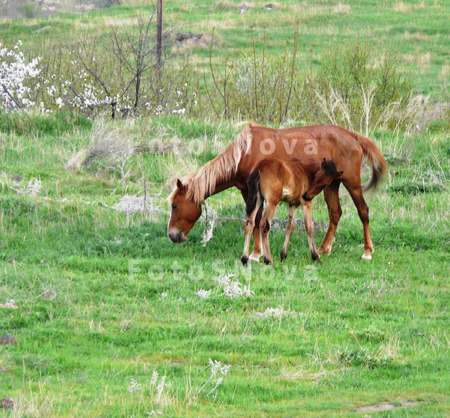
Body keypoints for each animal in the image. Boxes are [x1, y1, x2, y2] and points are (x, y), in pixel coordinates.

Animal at [169, 124, 386, 260]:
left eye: (175, 205)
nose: (172, 235)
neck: (244, 153)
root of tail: (352, 136)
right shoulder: (248, 191)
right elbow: (253, 220)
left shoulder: (254, 192)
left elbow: (258, 220)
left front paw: (256, 253)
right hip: (331, 185)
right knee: (335, 213)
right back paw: (323, 248)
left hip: (352, 183)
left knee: (363, 211)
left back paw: (367, 251)